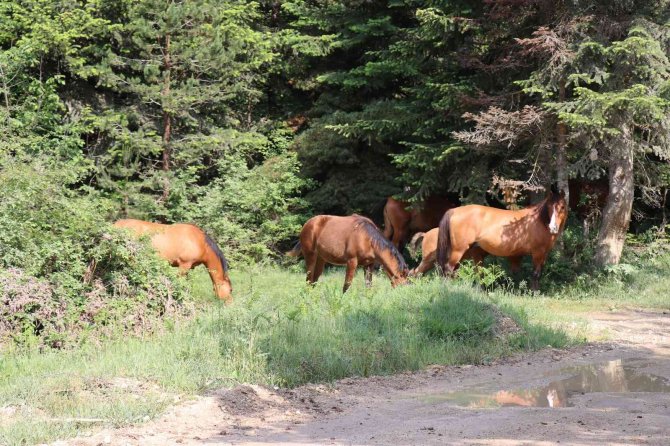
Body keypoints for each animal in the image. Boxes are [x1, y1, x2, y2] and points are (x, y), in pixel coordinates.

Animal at [436, 185, 568, 290]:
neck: (538, 220)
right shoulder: (537, 253)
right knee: (449, 268)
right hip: (459, 250)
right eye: (549, 207)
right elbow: (535, 274)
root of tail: (454, 210)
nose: (553, 227)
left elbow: (539, 273)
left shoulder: (544, 254)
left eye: (562, 207)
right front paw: (534, 293)